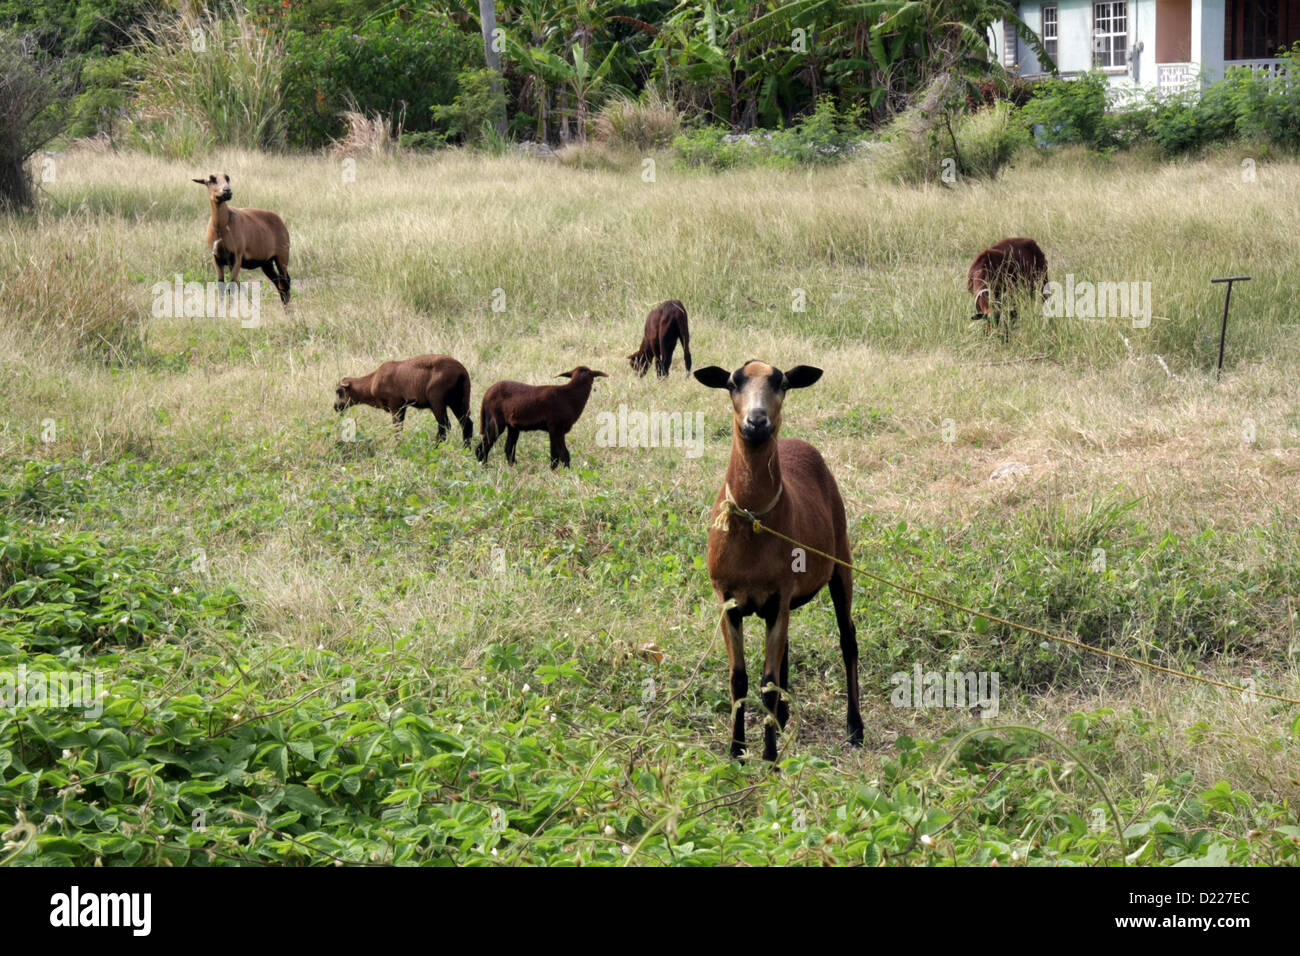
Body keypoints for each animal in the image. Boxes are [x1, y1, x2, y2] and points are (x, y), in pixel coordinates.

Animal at [192, 173, 292, 306]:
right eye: (212, 179)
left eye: (227, 178)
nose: (227, 191)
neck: (221, 227)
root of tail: (280, 221)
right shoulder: (217, 258)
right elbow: (221, 286)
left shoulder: (237, 256)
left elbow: (232, 286)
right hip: (266, 262)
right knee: (279, 283)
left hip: (282, 256)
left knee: (286, 282)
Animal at [334, 354, 473, 445]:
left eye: (339, 391)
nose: (335, 407)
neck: (372, 381)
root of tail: (461, 372)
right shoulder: (403, 406)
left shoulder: (395, 404)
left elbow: (397, 427)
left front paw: (397, 445)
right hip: (459, 401)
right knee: (467, 424)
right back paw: (466, 448)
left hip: (437, 401)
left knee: (444, 426)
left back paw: (436, 447)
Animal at [475, 366, 607, 468]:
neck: (570, 396)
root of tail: (487, 394)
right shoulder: (556, 427)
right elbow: (563, 455)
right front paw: (567, 473)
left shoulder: (555, 430)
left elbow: (555, 456)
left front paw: (554, 472)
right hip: (497, 420)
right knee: (483, 447)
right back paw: (484, 467)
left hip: (512, 426)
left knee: (508, 449)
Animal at [694, 360, 861, 763]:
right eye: (732, 383)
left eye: (782, 382)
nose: (757, 422)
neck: (752, 521)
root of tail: (796, 443)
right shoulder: (728, 599)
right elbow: (739, 677)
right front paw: (737, 751)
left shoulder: (778, 595)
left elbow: (767, 681)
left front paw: (770, 760)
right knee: (785, 650)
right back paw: (783, 719)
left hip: (840, 560)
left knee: (848, 638)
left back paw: (855, 728)